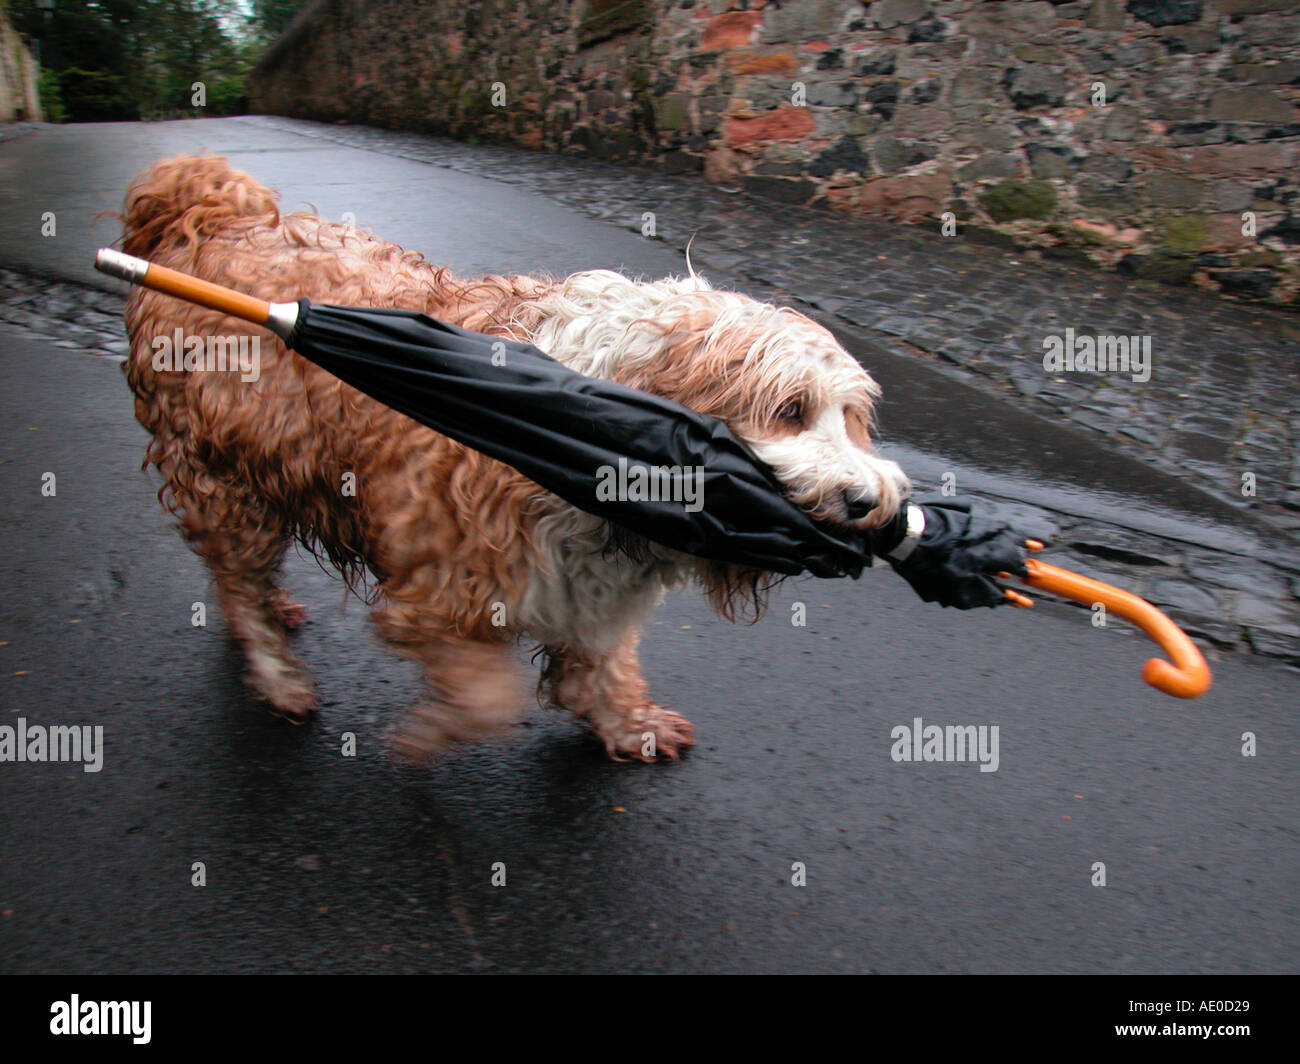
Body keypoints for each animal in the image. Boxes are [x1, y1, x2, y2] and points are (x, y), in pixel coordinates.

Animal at [122, 153, 909, 759]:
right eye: (790, 411)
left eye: (853, 420)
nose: (870, 503)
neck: (594, 420)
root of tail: (204, 219)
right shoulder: (442, 584)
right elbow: (487, 697)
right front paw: (433, 733)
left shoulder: (592, 585)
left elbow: (599, 666)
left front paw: (629, 722)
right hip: (224, 482)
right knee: (238, 581)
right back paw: (277, 672)